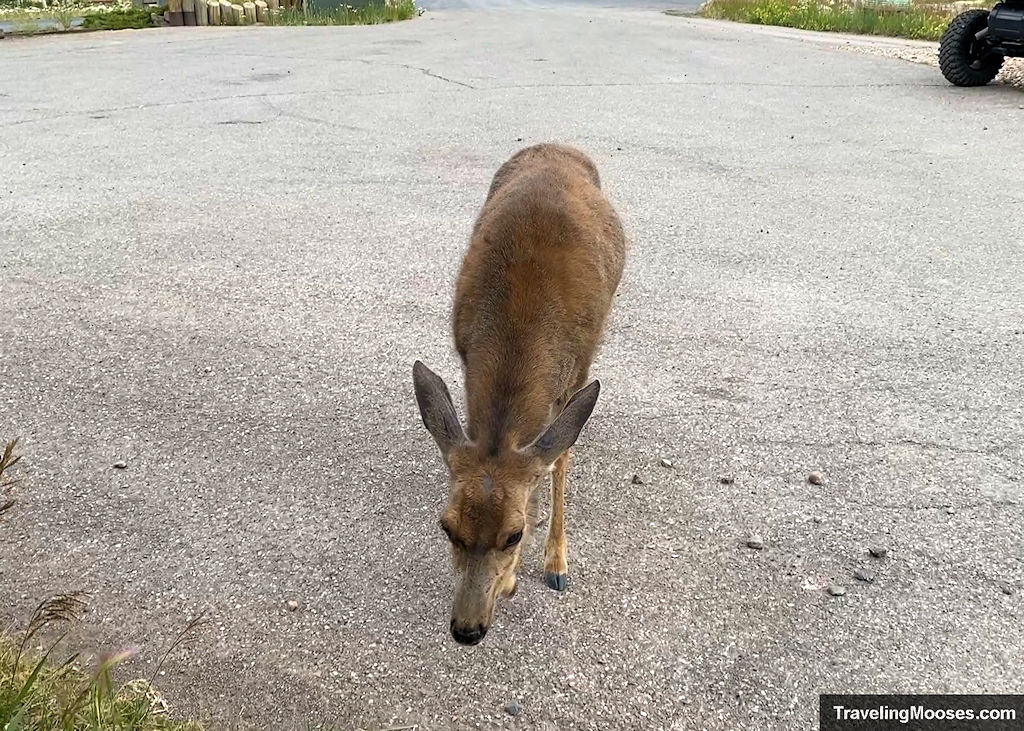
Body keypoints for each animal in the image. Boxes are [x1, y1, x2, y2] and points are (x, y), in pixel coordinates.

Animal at [412, 143, 626, 646]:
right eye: (446, 526)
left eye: (514, 534)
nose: (466, 630)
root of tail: (559, 145)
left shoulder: (576, 375)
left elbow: (559, 457)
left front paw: (552, 564)